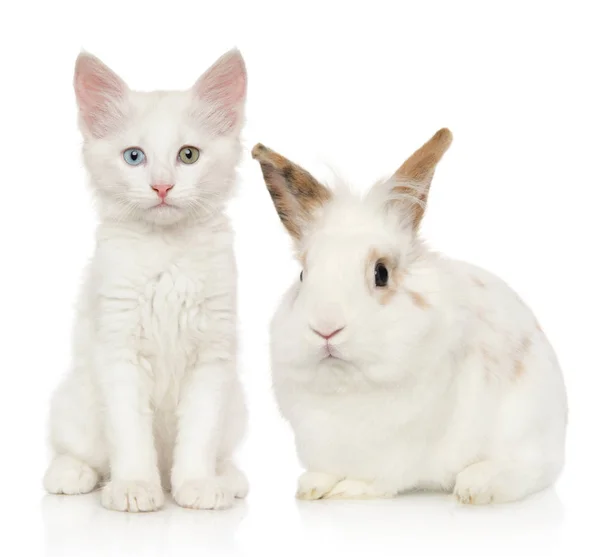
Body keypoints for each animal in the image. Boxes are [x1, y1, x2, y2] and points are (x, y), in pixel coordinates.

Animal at [43, 50, 247, 510]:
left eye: (188, 155)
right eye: (134, 157)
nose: (162, 186)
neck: (166, 254)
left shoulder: (212, 356)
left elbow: (199, 434)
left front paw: (197, 484)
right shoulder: (119, 351)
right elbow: (130, 433)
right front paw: (135, 487)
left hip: (236, 408)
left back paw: (227, 478)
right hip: (74, 400)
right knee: (74, 449)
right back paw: (70, 474)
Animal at [252, 130, 568, 504]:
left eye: (381, 273)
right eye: (303, 275)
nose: (326, 329)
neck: (348, 384)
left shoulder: (402, 444)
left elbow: (380, 479)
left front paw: (349, 490)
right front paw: (311, 487)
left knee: (530, 470)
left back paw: (475, 486)